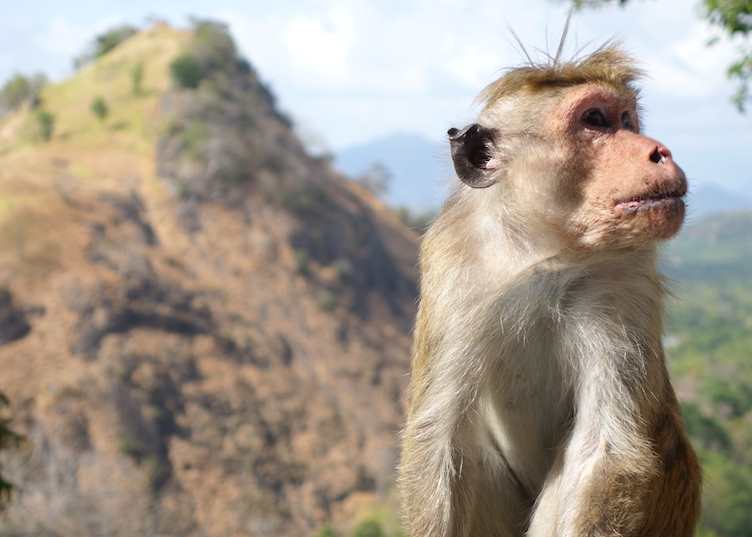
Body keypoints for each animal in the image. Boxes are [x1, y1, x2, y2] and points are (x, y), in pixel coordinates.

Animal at [398, 45, 701, 537]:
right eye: (595, 120)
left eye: (627, 120)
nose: (659, 151)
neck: (542, 256)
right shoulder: (452, 264)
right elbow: (440, 438)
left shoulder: (625, 277)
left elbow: (605, 448)